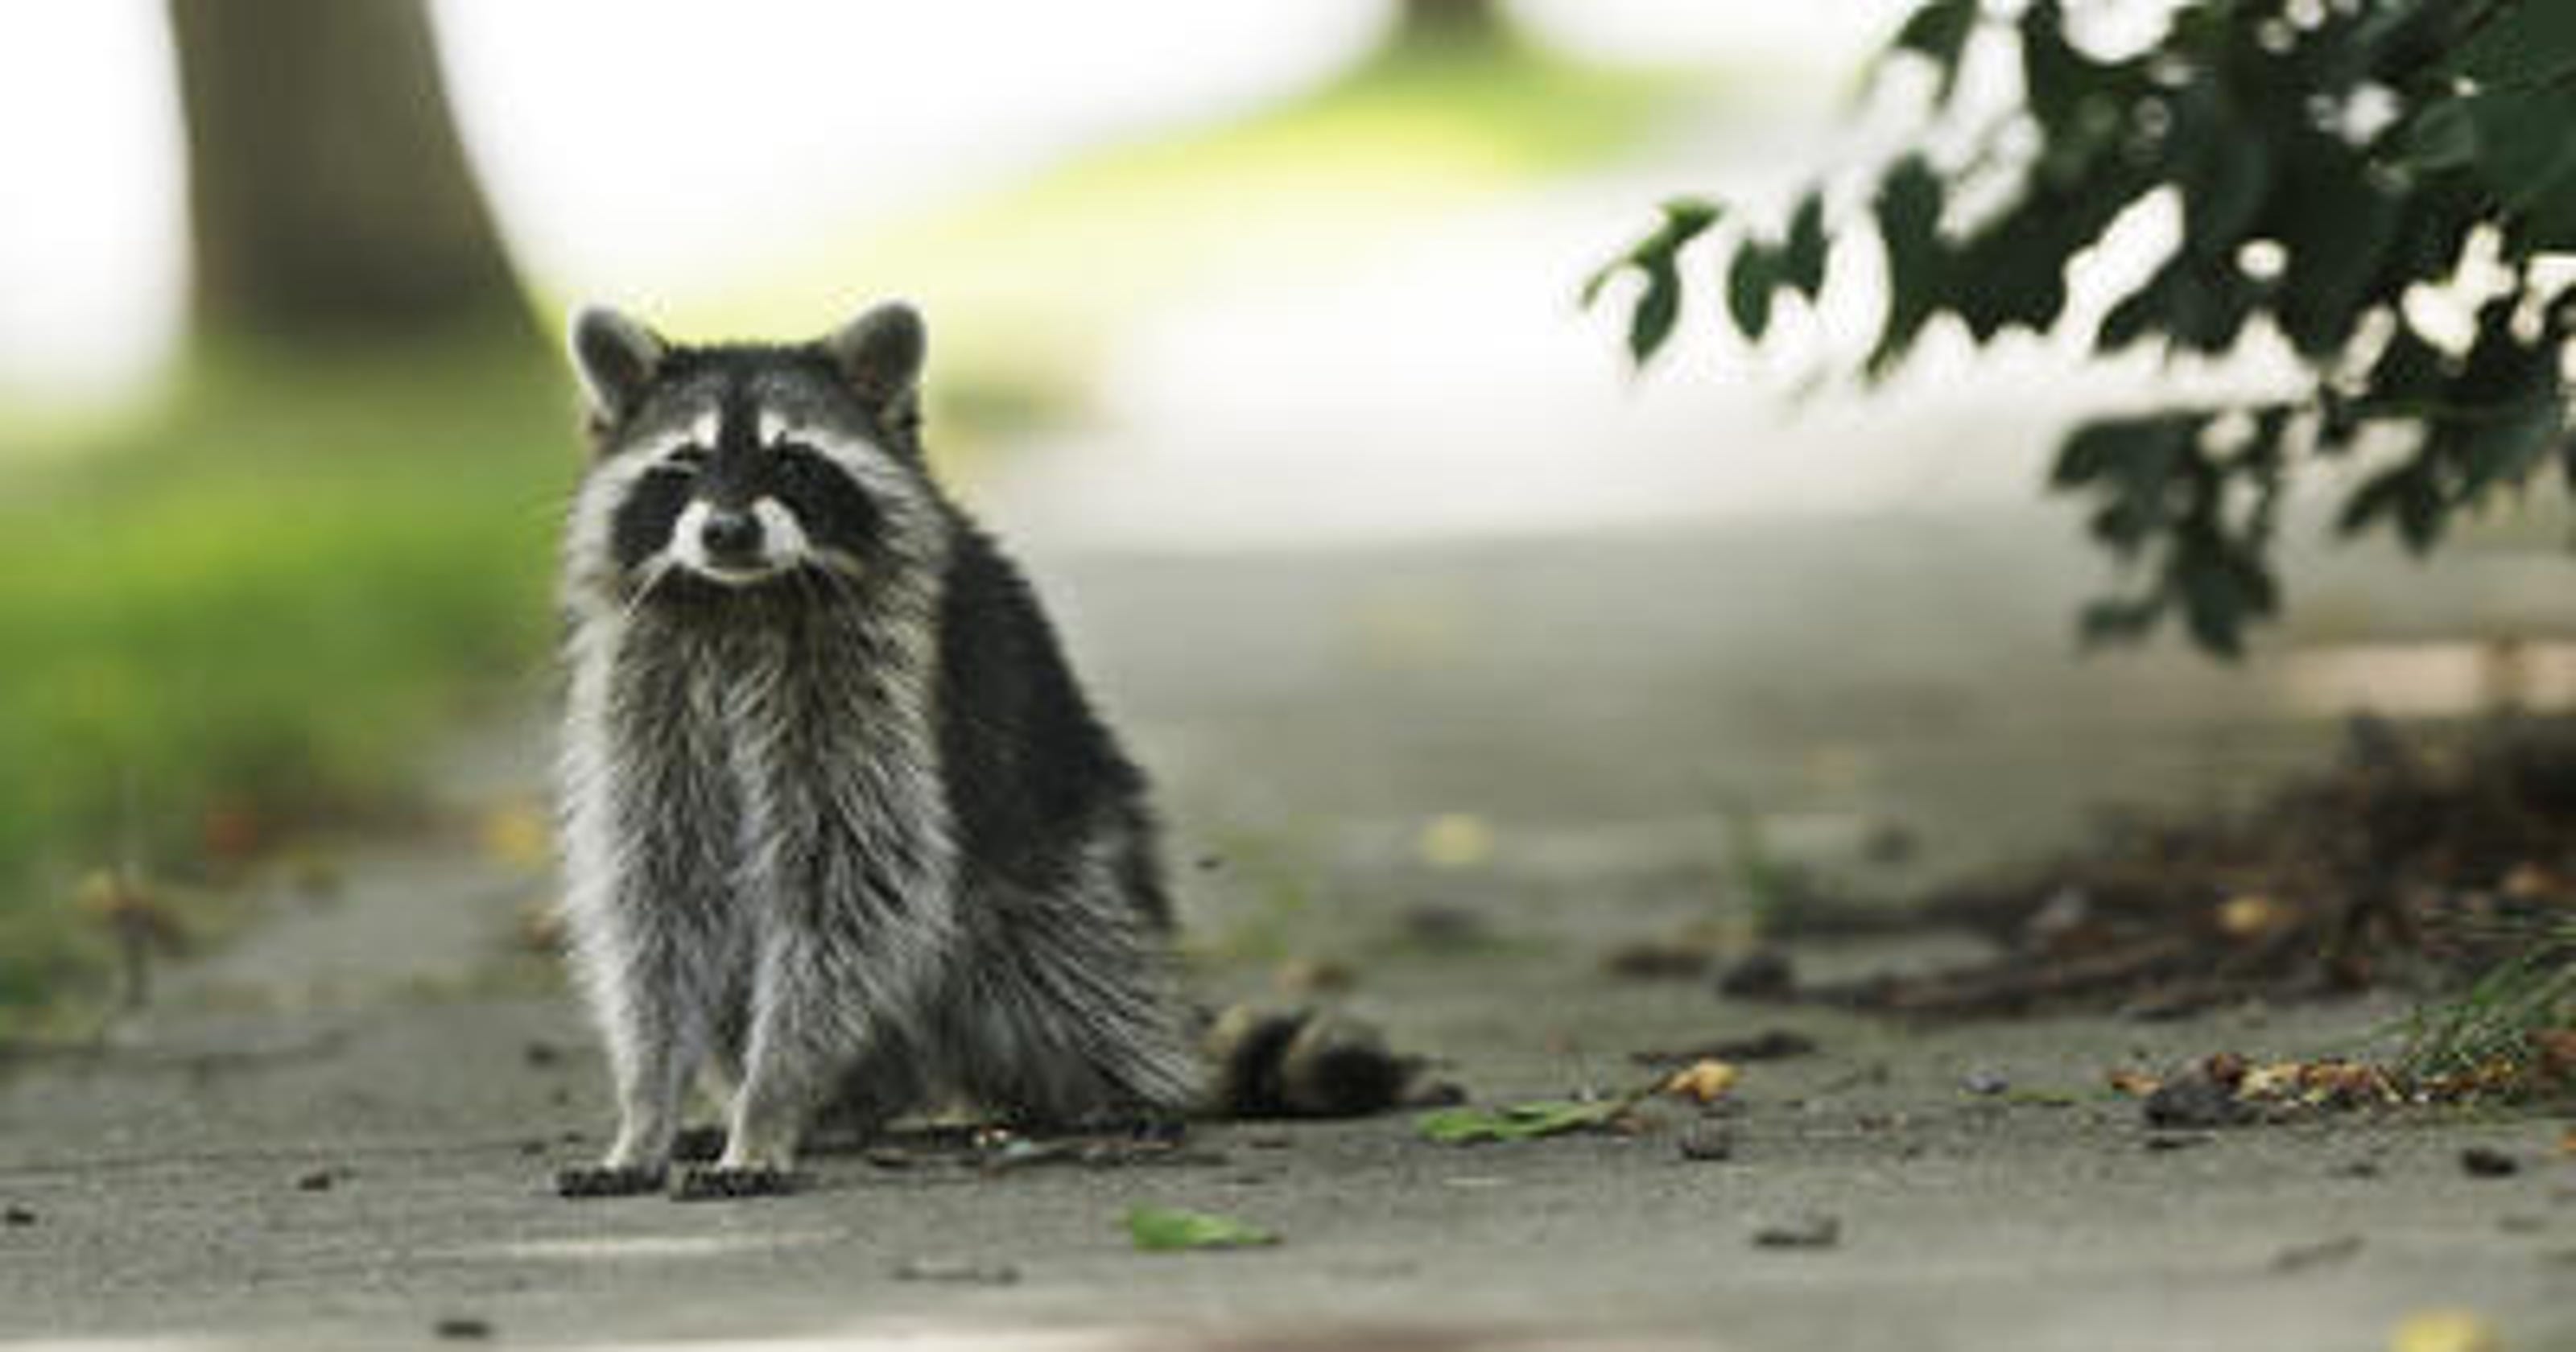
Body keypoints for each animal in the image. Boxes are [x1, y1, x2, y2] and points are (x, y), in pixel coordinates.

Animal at [552, 301, 1195, 1200]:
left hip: (1057, 851)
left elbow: (847, 885)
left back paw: (1118, 1089)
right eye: (684, 463)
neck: (743, 600)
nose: (726, 530)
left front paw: (769, 1106)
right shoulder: (650, 693)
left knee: (1072, 961)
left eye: (792, 460)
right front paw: (647, 1112)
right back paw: (845, 1106)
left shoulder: (874, 696)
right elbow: (659, 897)